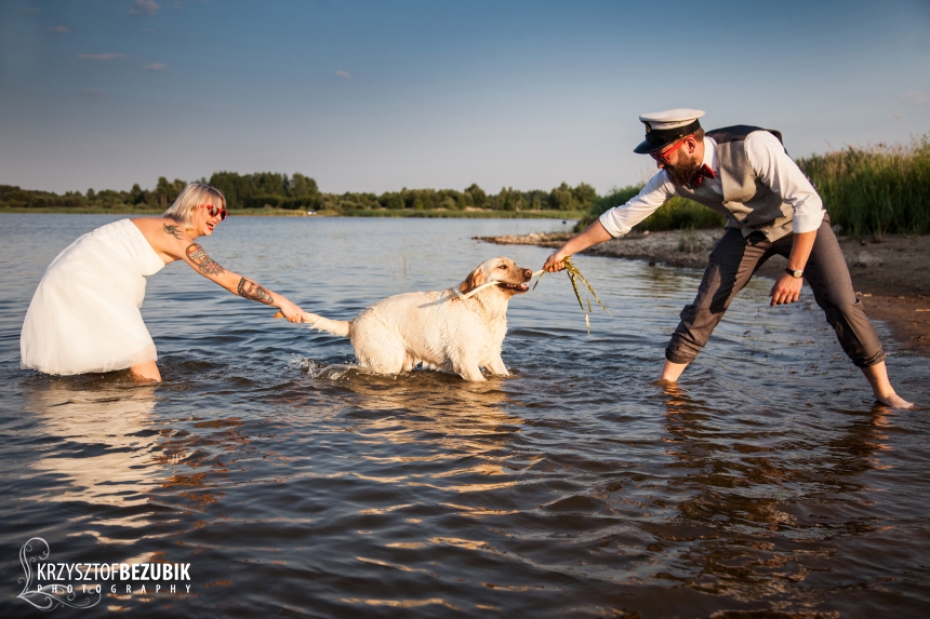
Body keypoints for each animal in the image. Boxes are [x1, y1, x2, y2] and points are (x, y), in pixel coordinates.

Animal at [294, 256, 532, 382]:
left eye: (515, 263)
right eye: (502, 267)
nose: (530, 271)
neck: (485, 309)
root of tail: (353, 321)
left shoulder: (493, 357)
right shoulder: (466, 362)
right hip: (387, 360)